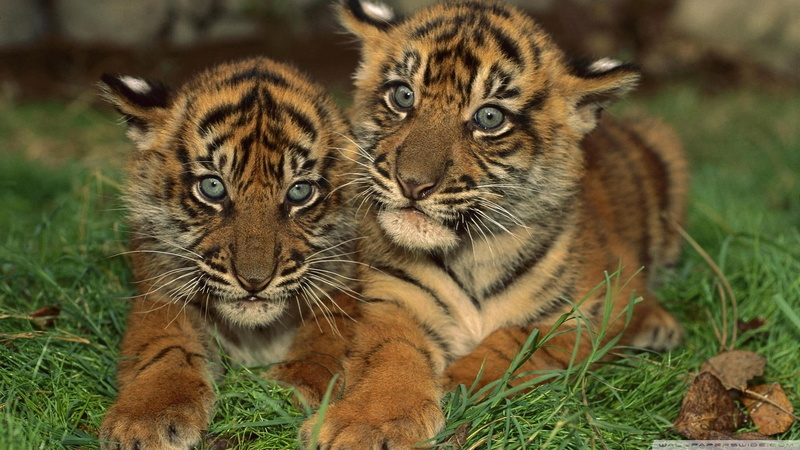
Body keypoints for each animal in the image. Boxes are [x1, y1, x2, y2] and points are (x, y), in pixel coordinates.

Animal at [97, 57, 361, 450]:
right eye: (212, 187)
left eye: (299, 192)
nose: (254, 282)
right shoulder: (159, 294)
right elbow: (165, 348)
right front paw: (145, 419)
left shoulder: (345, 287)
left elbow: (324, 340)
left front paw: (289, 388)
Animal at [301, 0, 689, 447]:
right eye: (402, 95)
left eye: (489, 117)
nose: (412, 183)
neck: (471, 253)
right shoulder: (394, 298)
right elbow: (390, 354)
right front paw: (369, 423)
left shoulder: (594, 306)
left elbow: (517, 340)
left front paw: (455, 385)